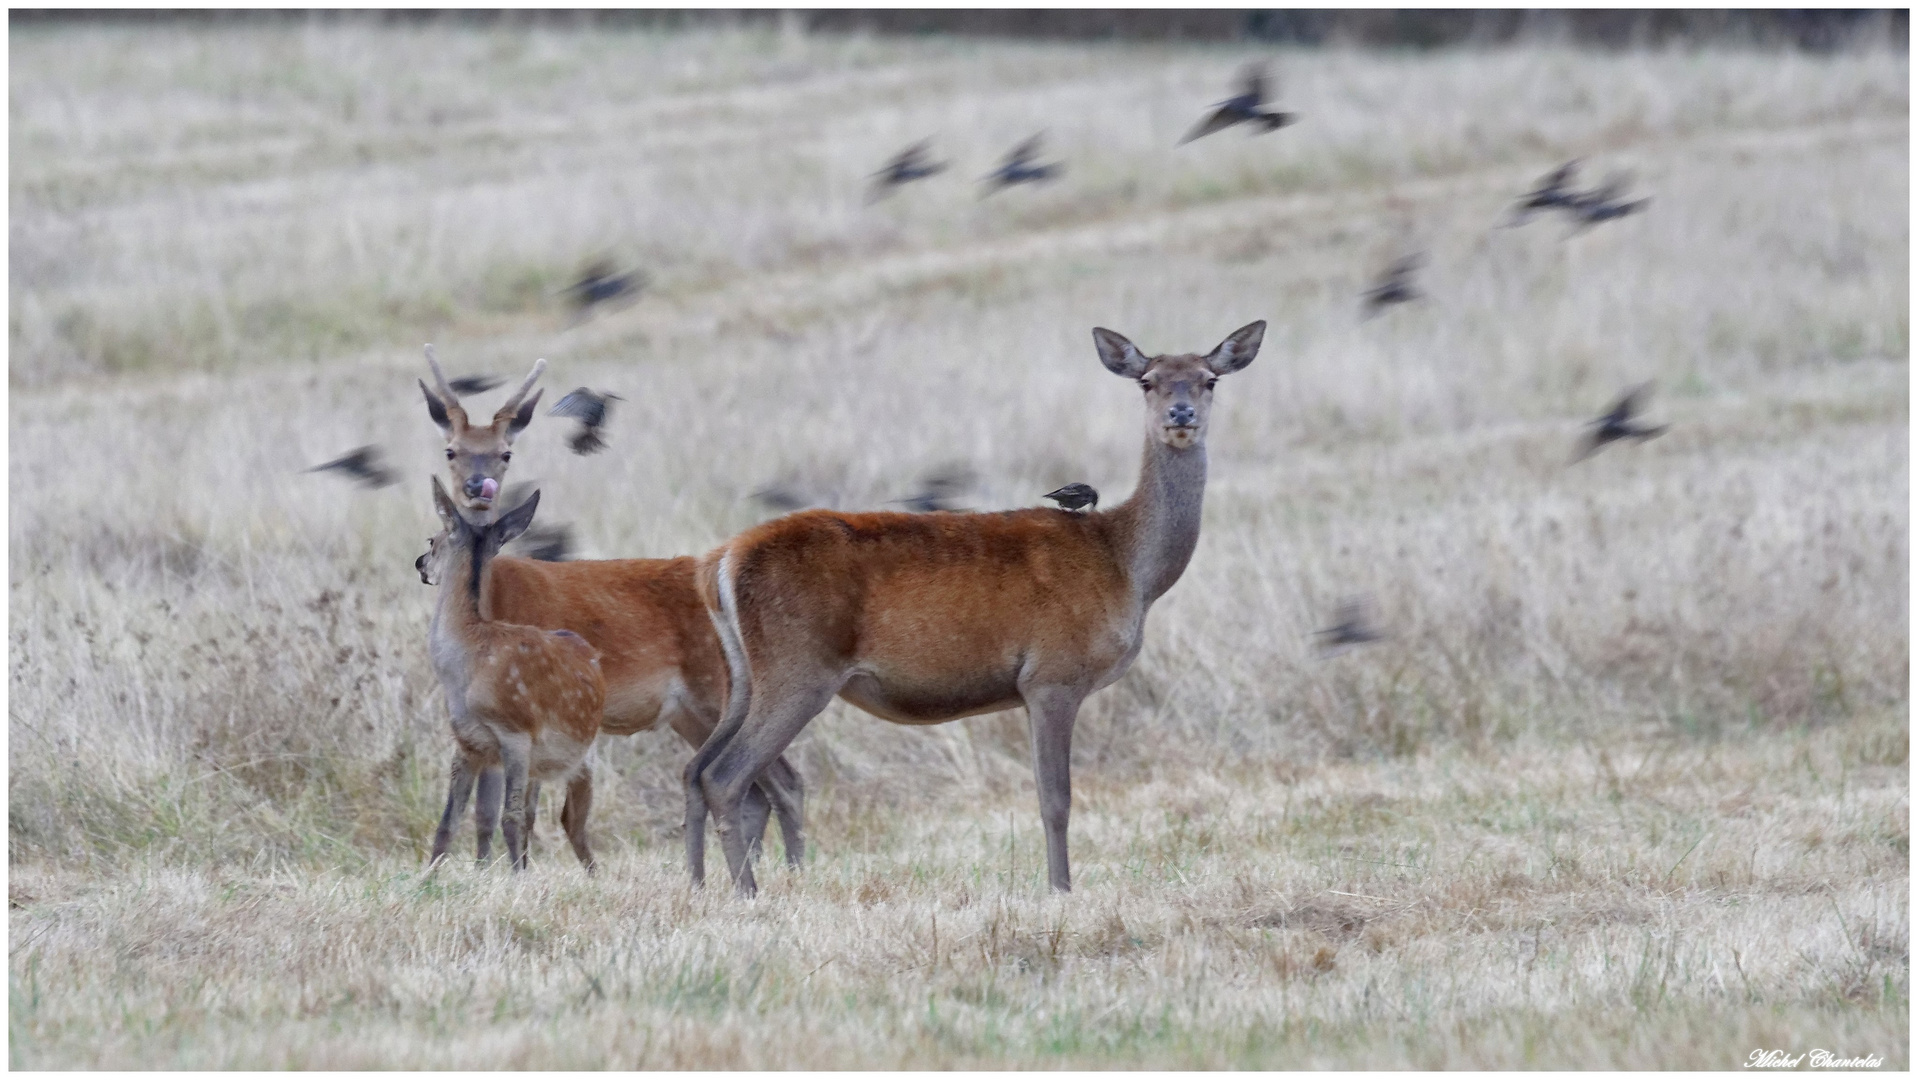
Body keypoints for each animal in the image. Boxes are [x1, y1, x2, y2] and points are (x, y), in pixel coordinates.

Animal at [427, 481, 606, 870]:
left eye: (431, 539)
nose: (420, 564)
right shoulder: (467, 742)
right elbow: (448, 820)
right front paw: (426, 876)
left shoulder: (517, 733)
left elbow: (510, 818)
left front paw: (516, 880)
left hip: (581, 756)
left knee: (572, 822)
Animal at [682, 318, 1265, 897]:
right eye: (1147, 380)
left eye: (1209, 379)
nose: (1181, 414)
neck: (1128, 567)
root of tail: (720, 562)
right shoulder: (1054, 674)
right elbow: (1056, 799)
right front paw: (1061, 889)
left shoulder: (1032, 689)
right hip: (798, 669)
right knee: (726, 775)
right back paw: (746, 890)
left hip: (743, 679)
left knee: (695, 770)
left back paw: (700, 884)